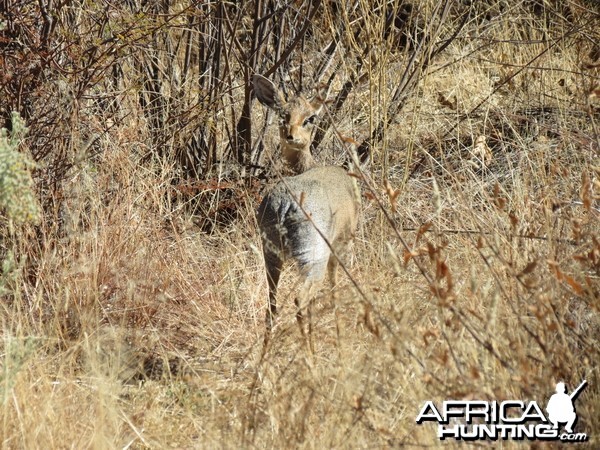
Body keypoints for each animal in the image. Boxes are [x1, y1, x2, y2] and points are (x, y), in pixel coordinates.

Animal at [251, 74, 358, 342]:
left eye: (310, 118)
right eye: (284, 114)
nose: (291, 136)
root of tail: (284, 205)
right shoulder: (340, 247)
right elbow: (335, 290)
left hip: (272, 256)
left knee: (272, 307)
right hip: (313, 257)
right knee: (300, 301)